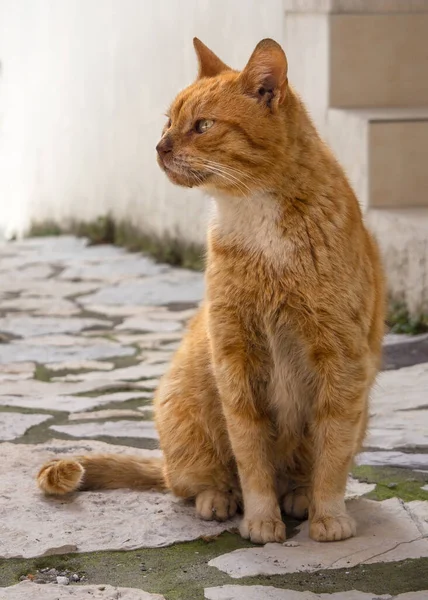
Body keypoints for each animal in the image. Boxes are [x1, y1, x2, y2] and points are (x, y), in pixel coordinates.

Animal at [36, 37, 384, 544]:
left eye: (202, 126)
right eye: (168, 122)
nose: (159, 146)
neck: (257, 220)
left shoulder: (342, 362)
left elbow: (333, 452)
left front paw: (327, 514)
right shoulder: (234, 356)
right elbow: (251, 454)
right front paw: (260, 519)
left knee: (301, 470)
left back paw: (299, 495)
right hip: (185, 408)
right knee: (188, 481)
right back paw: (220, 499)